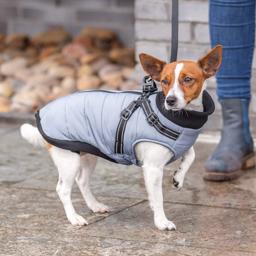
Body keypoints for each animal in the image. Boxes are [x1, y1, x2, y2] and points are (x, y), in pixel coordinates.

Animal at [20, 45, 222, 231]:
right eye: (165, 81)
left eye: (188, 79)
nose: (170, 101)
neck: (180, 118)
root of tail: (43, 113)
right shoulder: (153, 168)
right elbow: (158, 198)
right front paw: (161, 221)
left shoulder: (179, 146)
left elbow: (191, 155)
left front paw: (178, 177)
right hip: (69, 160)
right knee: (62, 189)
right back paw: (74, 218)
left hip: (88, 155)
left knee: (82, 181)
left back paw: (95, 206)